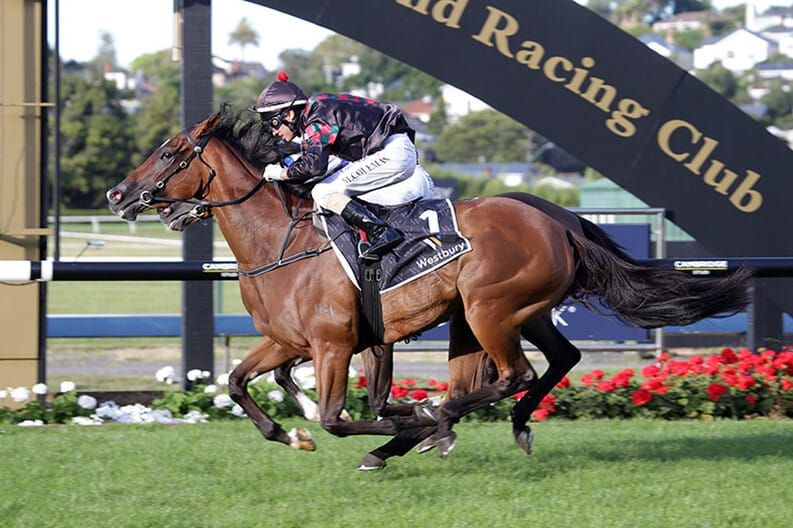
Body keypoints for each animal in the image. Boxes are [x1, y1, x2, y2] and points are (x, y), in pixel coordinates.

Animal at [107, 104, 751, 468]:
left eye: (169, 152)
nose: (117, 194)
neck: (279, 246)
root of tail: (558, 219)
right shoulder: (290, 341)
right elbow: (240, 383)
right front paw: (292, 436)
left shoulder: (334, 345)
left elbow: (338, 415)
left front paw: (401, 421)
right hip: (513, 311)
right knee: (556, 360)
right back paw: (499, 426)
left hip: (490, 309)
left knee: (510, 375)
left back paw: (430, 423)